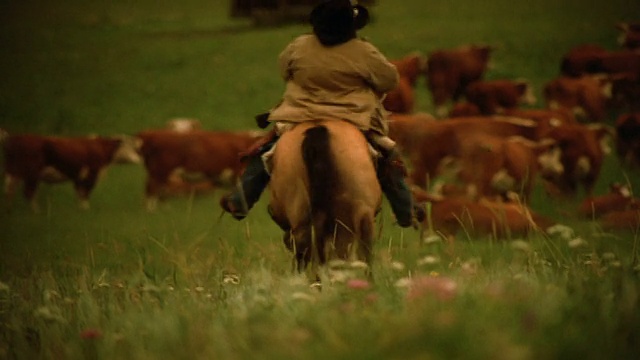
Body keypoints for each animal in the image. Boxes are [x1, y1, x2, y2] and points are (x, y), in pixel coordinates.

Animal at [3, 133, 136, 211]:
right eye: (130, 146)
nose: (137, 159)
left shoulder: (78, 177)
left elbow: (79, 193)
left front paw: (80, 209)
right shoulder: (91, 174)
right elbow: (85, 193)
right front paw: (86, 209)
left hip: (15, 173)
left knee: (10, 190)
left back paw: (10, 210)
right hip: (31, 174)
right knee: (28, 193)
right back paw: (35, 212)